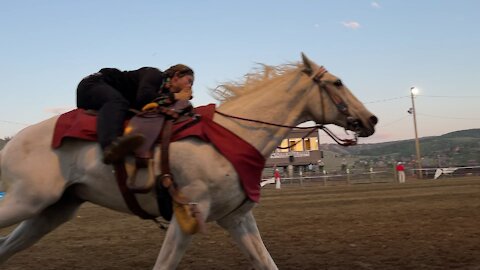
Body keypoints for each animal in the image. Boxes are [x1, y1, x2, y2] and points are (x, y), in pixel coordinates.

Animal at [0, 53, 376, 268]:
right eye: (337, 82)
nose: (370, 119)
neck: (232, 133)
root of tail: (13, 143)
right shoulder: (188, 215)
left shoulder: (237, 219)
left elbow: (265, 262)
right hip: (26, 201)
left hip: (51, 212)